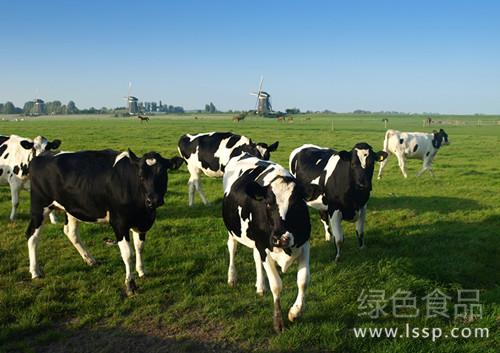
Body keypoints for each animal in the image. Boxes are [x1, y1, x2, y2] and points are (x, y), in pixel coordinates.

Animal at [23, 148, 184, 294]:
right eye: (140, 175)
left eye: (163, 173)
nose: (153, 200)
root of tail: (42, 155)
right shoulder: (119, 224)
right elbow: (128, 254)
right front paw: (130, 284)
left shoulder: (142, 223)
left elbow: (140, 247)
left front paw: (141, 271)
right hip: (39, 205)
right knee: (32, 236)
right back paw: (35, 272)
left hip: (72, 208)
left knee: (71, 232)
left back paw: (90, 260)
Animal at [221, 153, 314, 332]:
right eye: (268, 204)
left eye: (296, 205)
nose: (280, 238)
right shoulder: (264, 247)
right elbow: (276, 285)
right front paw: (278, 322)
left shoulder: (305, 244)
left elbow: (303, 280)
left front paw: (295, 312)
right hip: (233, 231)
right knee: (232, 248)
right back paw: (232, 277)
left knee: (256, 258)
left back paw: (260, 286)